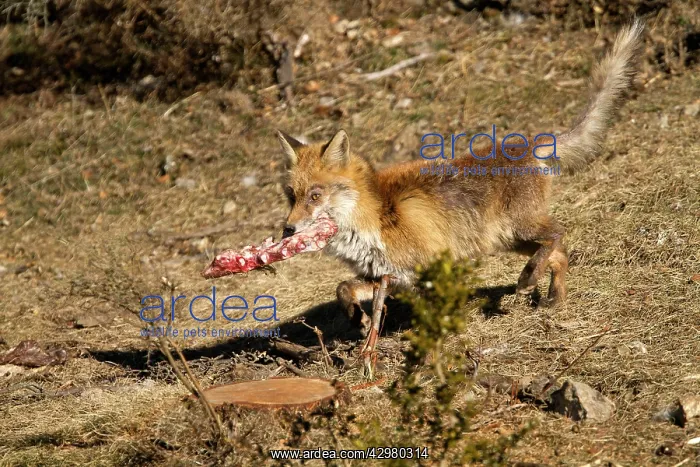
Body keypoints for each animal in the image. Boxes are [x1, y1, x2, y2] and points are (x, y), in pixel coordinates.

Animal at [276, 20, 644, 334]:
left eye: (315, 195)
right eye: (291, 196)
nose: (287, 230)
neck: (374, 218)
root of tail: (527, 145)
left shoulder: (427, 268)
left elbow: (437, 311)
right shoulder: (390, 276)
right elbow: (343, 289)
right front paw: (359, 320)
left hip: (523, 227)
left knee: (558, 234)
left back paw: (530, 278)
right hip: (510, 240)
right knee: (558, 254)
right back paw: (554, 297)